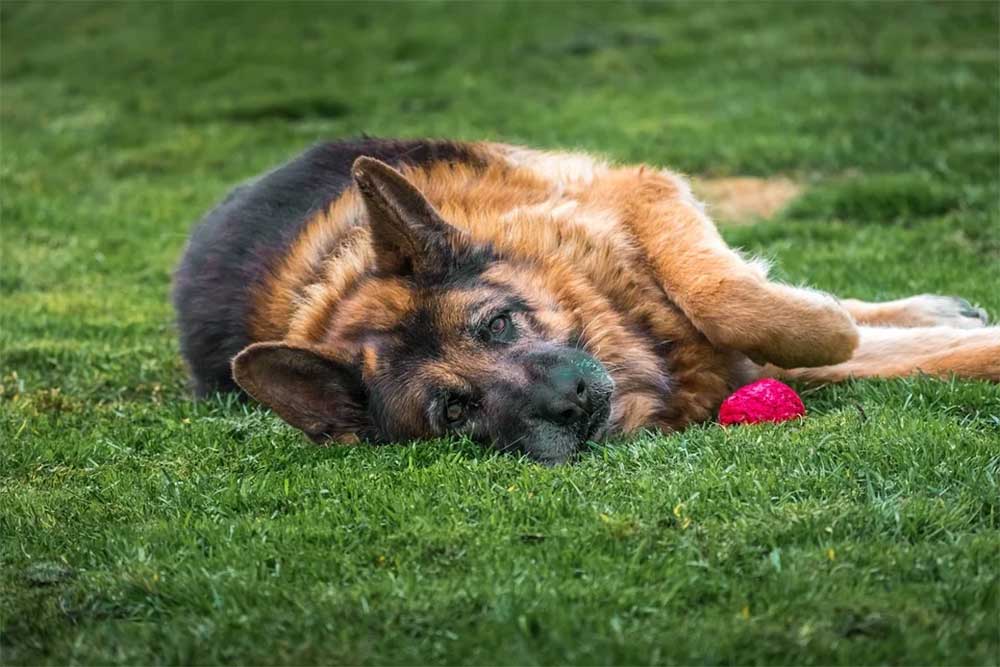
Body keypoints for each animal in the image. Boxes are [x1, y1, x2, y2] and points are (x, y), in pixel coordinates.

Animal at [174, 140, 1000, 464]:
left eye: (499, 323)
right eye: (455, 410)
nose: (567, 406)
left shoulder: (637, 192)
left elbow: (730, 296)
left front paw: (825, 320)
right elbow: (911, 361)